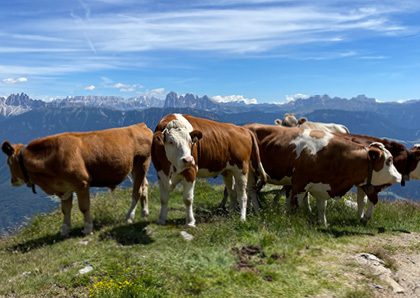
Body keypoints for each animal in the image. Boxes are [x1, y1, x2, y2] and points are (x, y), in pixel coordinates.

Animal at [1, 123, 153, 235]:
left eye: (8, 162)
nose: (12, 181)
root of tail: (139, 125)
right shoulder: (64, 187)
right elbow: (65, 209)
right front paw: (64, 229)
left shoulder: (82, 183)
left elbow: (84, 207)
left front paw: (87, 228)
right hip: (137, 168)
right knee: (144, 186)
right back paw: (144, 214)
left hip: (142, 163)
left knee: (137, 192)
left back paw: (130, 217)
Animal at [244, 124, 402, 226]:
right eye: (389, 160)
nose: (400, 176)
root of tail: (247, 126)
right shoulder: (299, 185)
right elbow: (295, 207)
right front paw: (294, 223)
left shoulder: (322, 186)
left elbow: (322, 207)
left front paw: (323, 223)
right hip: (250, 171)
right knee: (251, 191)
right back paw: (258, 211)